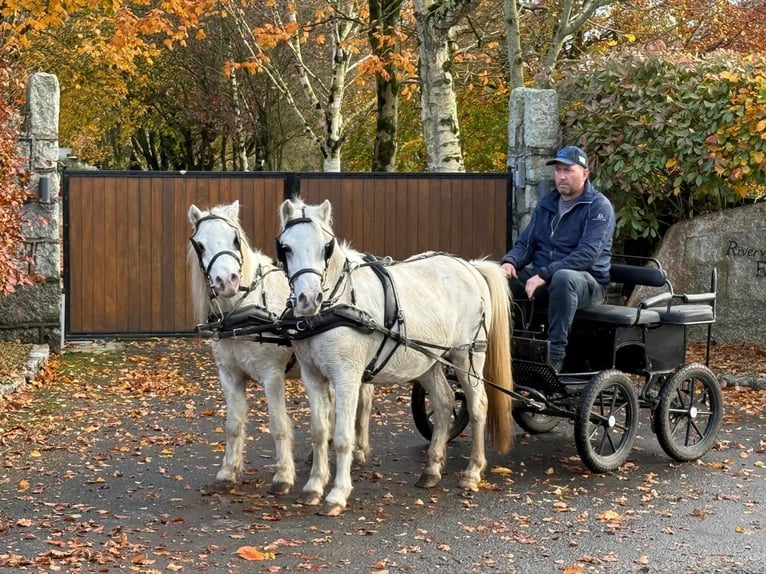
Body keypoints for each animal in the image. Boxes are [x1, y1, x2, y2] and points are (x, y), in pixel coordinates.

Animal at [187, 201, 374, 495]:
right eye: (200, 245)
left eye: (235, 239)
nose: (227, 281)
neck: (244, 310)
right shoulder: (229, 376)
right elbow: (233, 425)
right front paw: (228, 471)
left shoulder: (271, 376)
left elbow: (278, 424)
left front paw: (283, 475)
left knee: (364, 399)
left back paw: (361, 449)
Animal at [276, 198, 514, 516]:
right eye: (285, 247)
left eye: (326, 247)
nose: (307, 300)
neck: (336, 305)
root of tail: (470, 266)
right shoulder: (312, 376)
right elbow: (318, 431)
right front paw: (313, 486)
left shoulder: (347, 377)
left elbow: (342, 437)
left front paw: (337, 494)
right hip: (429, 360)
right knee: (444, 403)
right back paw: (431, 470)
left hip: (467, 356)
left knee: (478, 407)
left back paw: (473, 472)